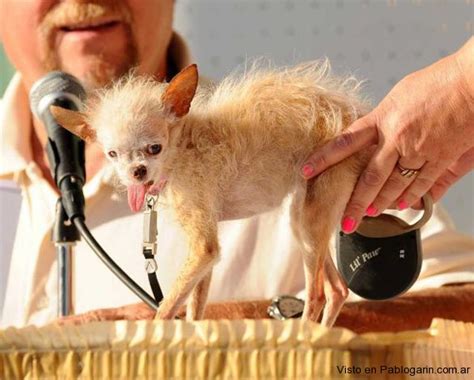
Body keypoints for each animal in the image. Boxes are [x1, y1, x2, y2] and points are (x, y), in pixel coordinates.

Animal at [52, 60, 370, 326]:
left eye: (155, 148)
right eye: (113, 154)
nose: (137, 172)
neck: (183, 149)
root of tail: (352, 112)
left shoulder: (203, 247)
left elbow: (167, 307)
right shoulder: (205, 248)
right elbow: (195, 306)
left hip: (311, 219)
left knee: (316, 294)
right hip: (304, 221)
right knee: (338, 290)